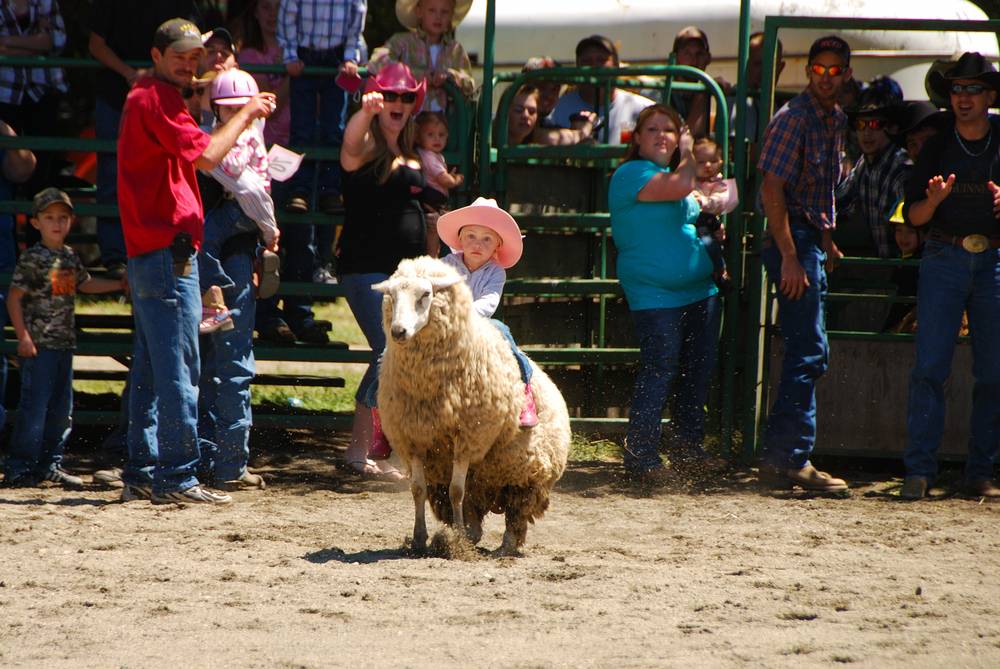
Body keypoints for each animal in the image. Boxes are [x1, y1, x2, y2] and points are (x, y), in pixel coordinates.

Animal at [374, 256, 572, 552]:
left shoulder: (468, 435)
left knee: (516, 509)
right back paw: (470, 532)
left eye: (426, 294)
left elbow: (457, 490)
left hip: (527, 467)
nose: (398, 331)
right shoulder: (413, 437)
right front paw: (419, 538)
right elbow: (418, 490)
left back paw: (504, 545)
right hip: (478, 473)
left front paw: (456, 541)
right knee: (471, 505)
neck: (425, 388)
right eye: (391, 296)